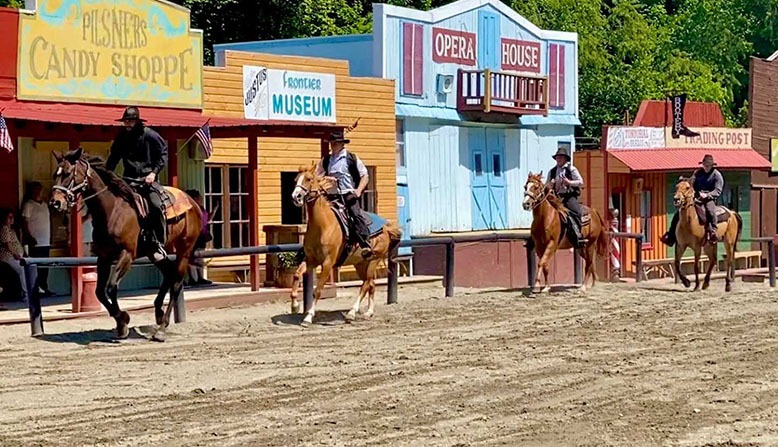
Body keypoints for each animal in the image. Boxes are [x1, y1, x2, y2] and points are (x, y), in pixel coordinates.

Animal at [47, 149, 202, 342]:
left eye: (68, 173)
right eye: (55, 174)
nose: (55, 203)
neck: (113, 210)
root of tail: (192, 203)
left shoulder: (126, 254)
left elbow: (111, 287)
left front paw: (123, 321)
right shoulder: (103, 257)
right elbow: (100, 292)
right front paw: (122, 323)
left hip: (184, 250)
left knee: (176, 284)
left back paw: (161, 329)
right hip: (154, 252)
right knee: (168, 274)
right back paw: (158, 313)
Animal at [290, 163, 404, 328]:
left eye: (309, 179)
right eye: (295, 180)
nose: (296, 196)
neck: (323, 225)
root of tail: (386, 228)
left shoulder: (327, 263)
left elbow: (317, 290)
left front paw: (308, 317)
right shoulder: (311, 259)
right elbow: (297, 274)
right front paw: (294, 306)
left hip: (373, 260)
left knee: (365, 284)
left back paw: (351, 313)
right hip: (360, 264)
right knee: (371, 284)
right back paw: (369, 312)